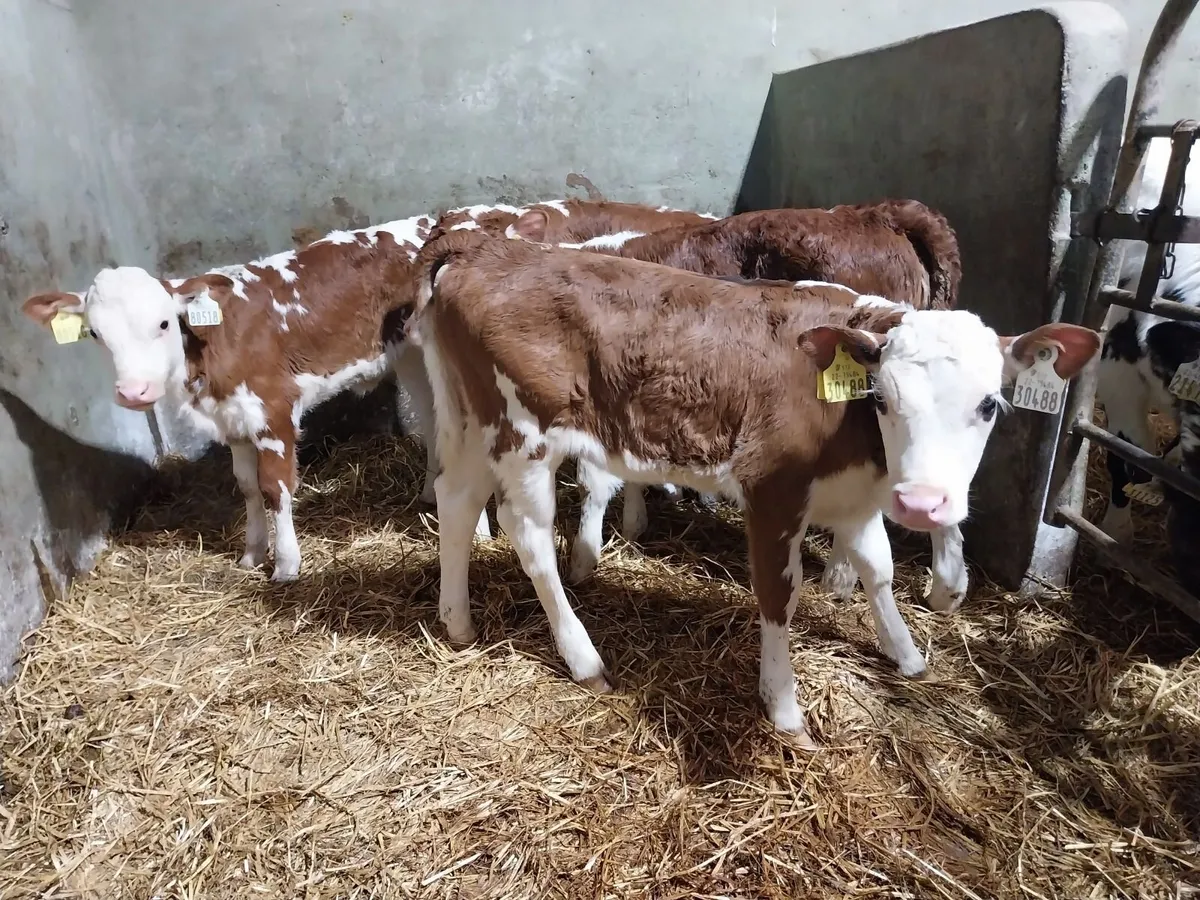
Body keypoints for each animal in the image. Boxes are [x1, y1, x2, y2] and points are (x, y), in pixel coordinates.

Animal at [402, 230, 1099, 738]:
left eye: (989, 405)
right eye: (884, 397)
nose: (922, 502)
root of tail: (483, 246)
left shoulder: (854, 495)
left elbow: (877, 567)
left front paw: (904, 653)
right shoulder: (773, 491)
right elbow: (778, 594)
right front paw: (784, 706)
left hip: (472, 420)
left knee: (457, 500)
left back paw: (457, 620)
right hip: (523, 434)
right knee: (529, 538)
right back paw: (583, 657)